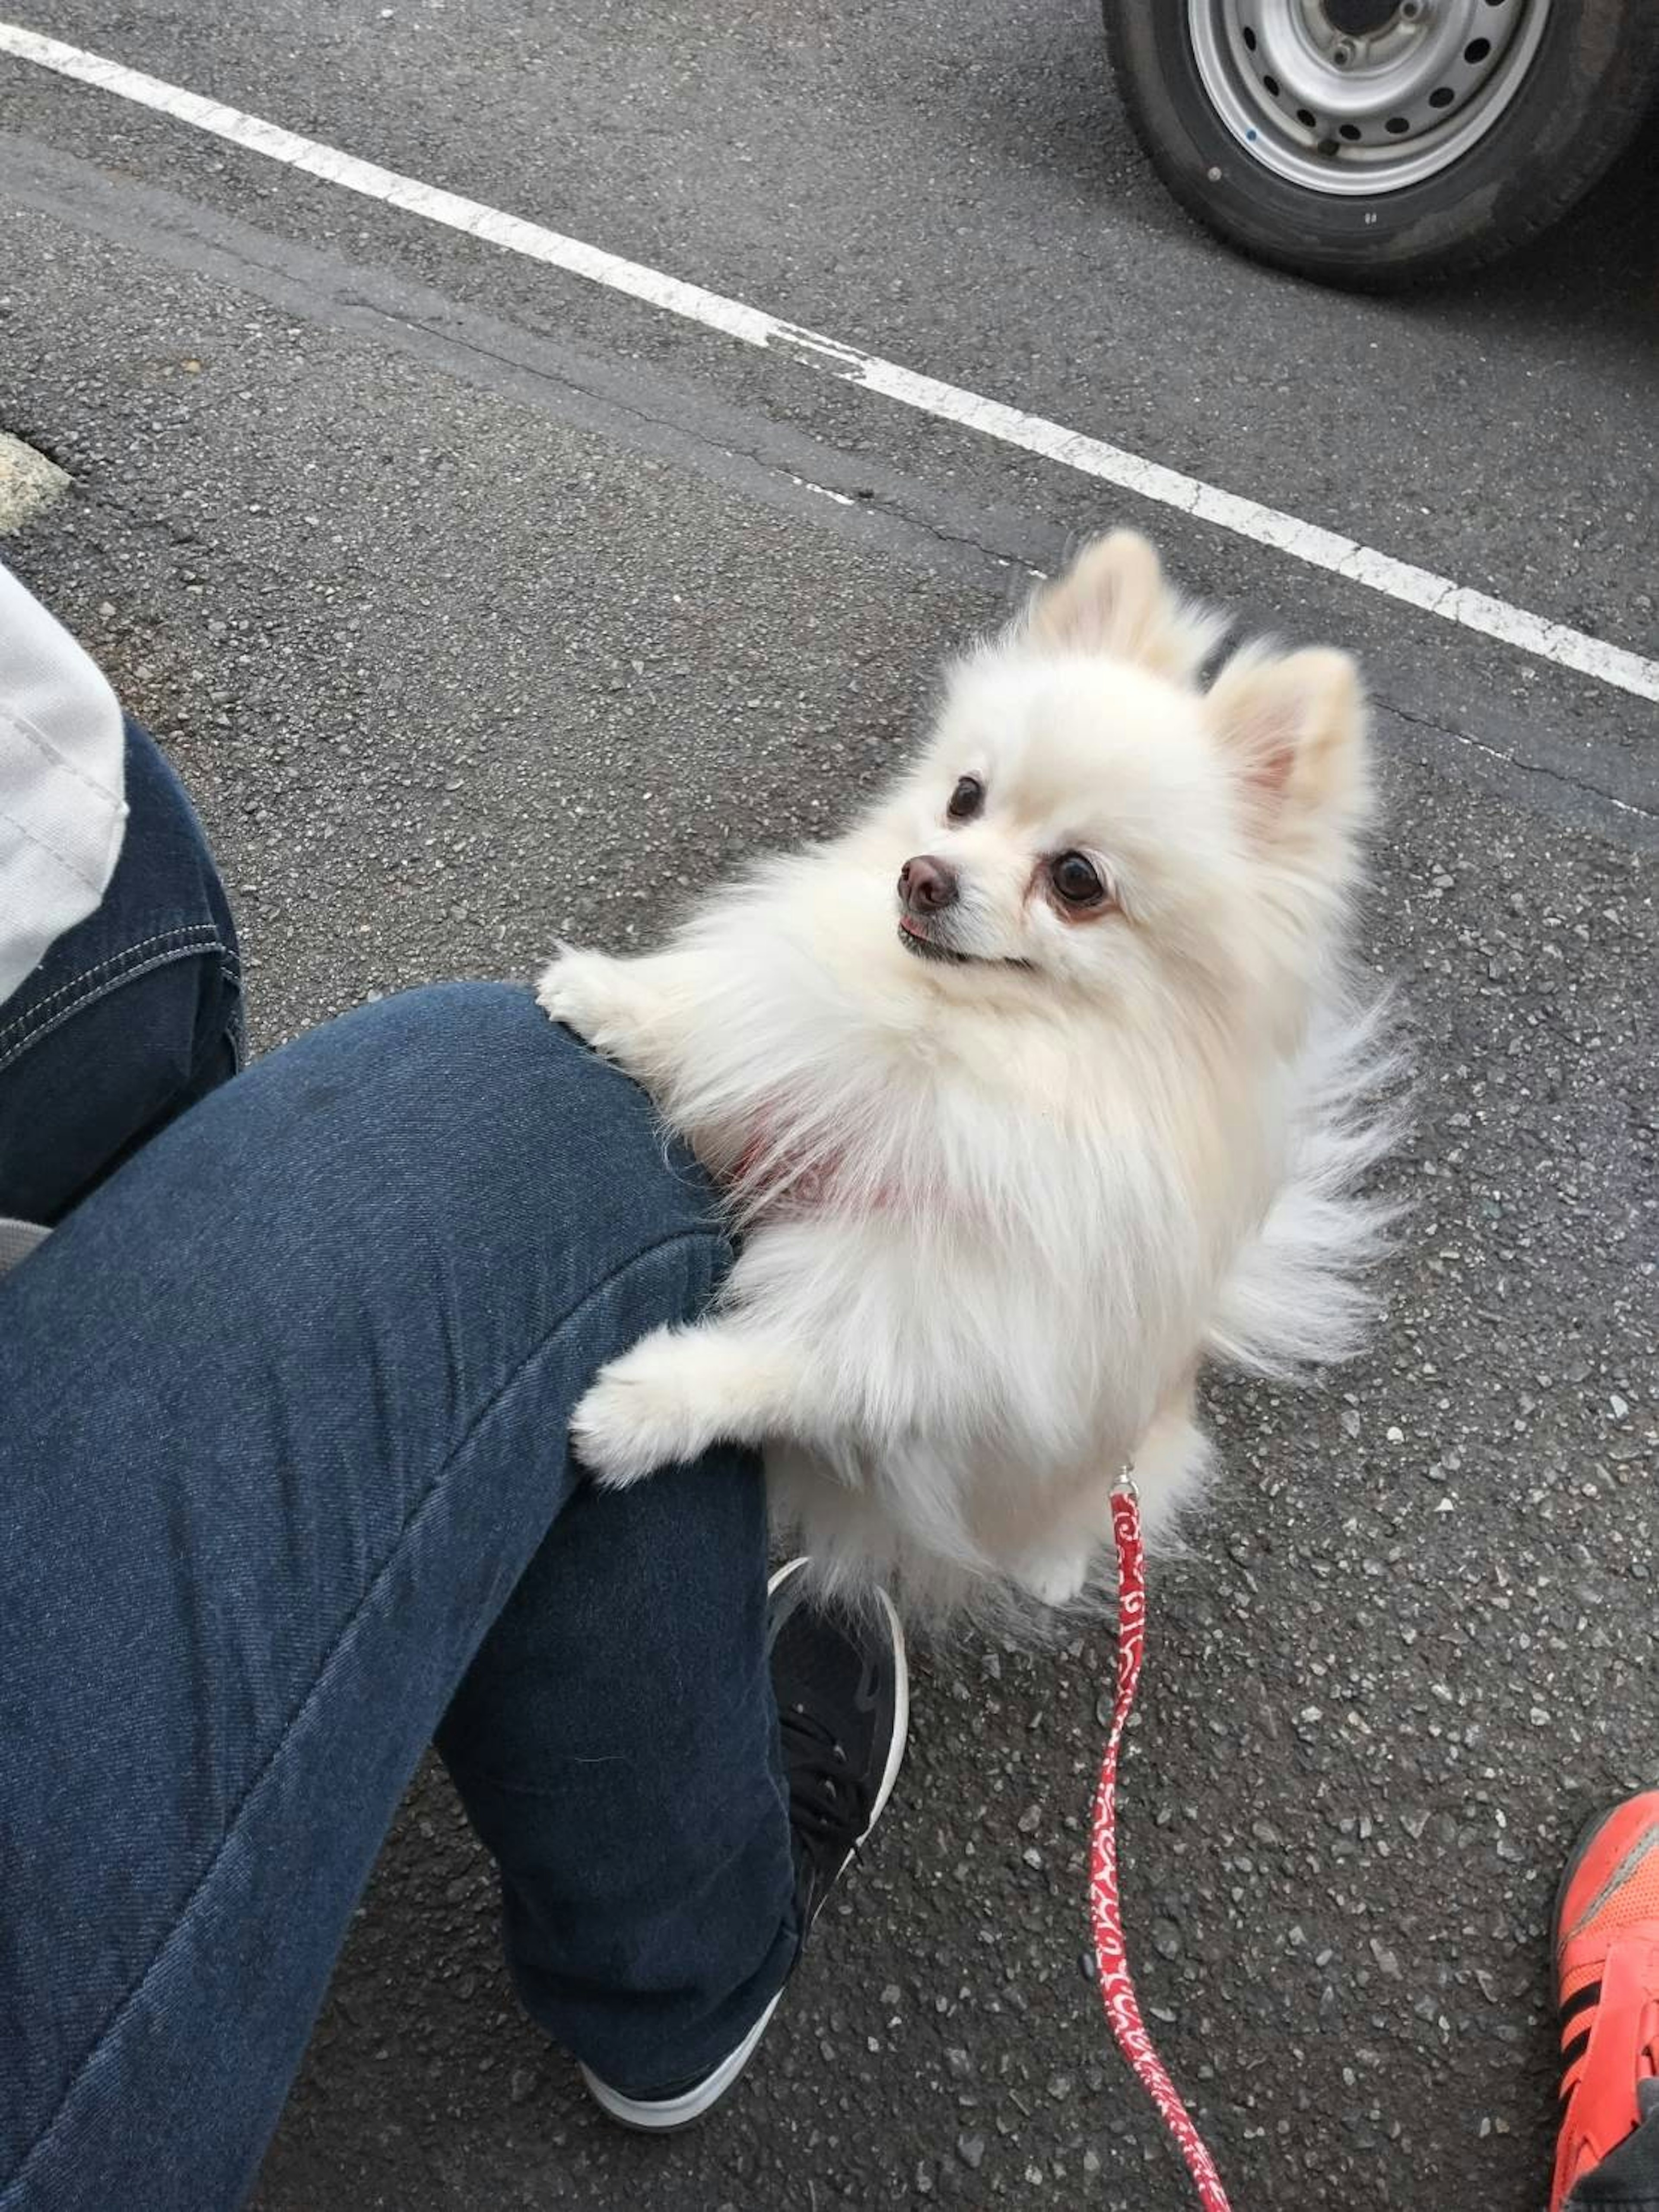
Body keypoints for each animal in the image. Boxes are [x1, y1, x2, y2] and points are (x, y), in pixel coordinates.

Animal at [540, 526, 1398, 1619]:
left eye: (1076, 880)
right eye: (965, 796)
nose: (922, 875)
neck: (942, 1043)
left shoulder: (948, 1310)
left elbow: (787, 1365)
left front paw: (637, 1411)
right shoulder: (798, 1103)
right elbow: (718, 1035)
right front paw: (608, 996)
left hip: (1119, 1460)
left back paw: (1054, 1568)